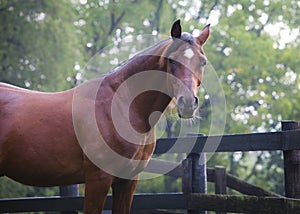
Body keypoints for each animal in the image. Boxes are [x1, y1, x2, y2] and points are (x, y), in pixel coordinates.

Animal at [0, 19, 210, 212]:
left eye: (203, 62)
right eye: (172, 60)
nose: (187, 103)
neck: (121, 104)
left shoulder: (127, 181)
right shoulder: (98, 180)